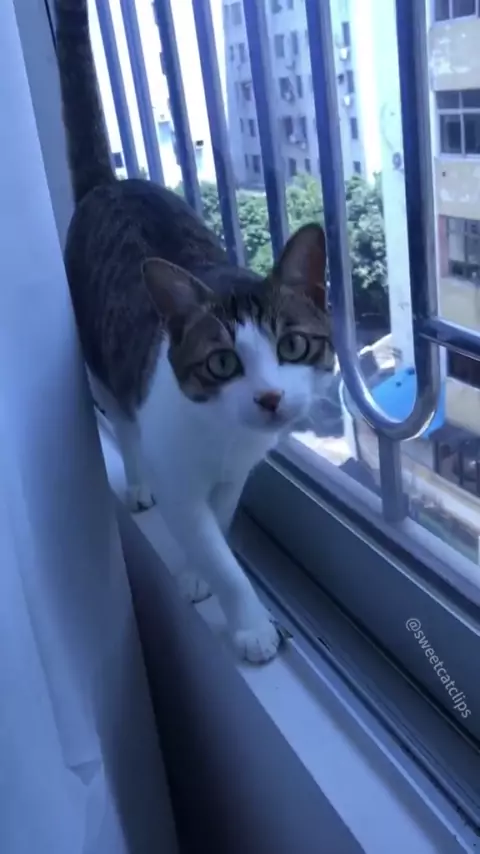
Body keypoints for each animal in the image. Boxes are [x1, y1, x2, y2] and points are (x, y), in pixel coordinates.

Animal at [54, 0, 335, 663]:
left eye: (292, 345)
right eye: (222, 363)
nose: (270, 397)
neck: (223, 435)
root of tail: (110, 183)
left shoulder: (236, 474)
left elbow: (221, 524)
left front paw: (201, 572)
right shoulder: (178, 470)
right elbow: (209, 542)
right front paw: (249, 622)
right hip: (103, 366)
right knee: (122, 422)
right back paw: (135, 482)